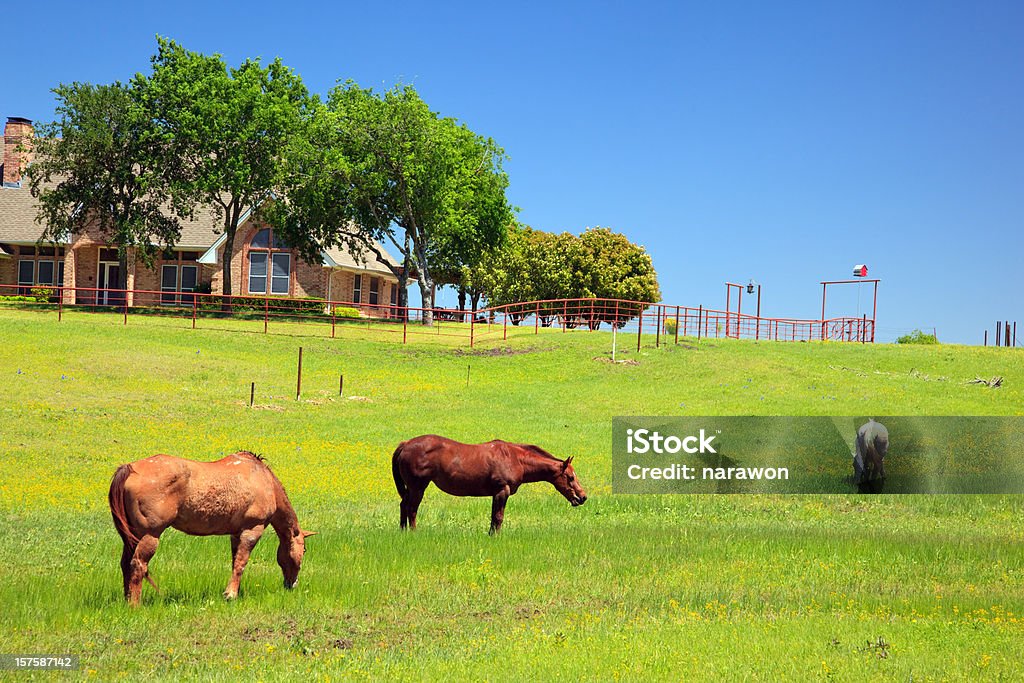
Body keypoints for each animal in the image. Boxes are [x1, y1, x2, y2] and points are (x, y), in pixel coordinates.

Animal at [107, 450, 315, 606]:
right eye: (303, 550)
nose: (292, 585)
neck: (265, 480)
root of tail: (130, 468)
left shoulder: (235, 534)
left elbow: (234, 562)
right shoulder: (252, 530)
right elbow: (241, 563)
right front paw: (230, 595)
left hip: (132, 537)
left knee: (125, 564)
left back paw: (127, 600)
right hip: (150, 535)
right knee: (138, 564)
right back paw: (135, 604)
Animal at [387, 438, 589, 532]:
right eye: (570, 477)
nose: (583, 497)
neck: (516, 459)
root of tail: (406, 444)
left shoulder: (496, 494)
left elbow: (494, 518)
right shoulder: (502, 491)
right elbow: (498, 518)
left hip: (411, 489)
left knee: (404, 506)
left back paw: (403, 531)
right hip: (418, 487)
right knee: (412, 509)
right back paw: (413, 532)